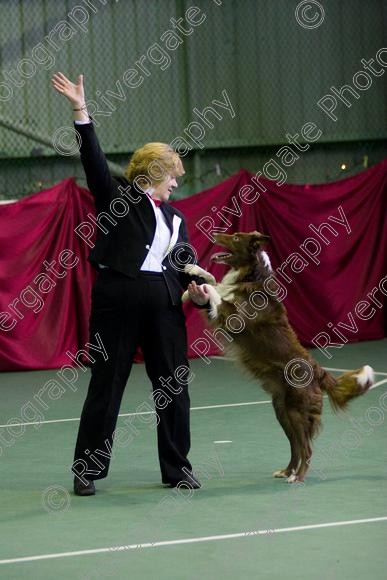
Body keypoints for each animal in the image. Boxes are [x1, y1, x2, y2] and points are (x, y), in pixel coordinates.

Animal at [185, 233, 376, 482]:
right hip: (282, 410)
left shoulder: (233, 317)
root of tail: (318, 370)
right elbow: (214, 282)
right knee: (295, 445)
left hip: (296, 411)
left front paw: (199, 285)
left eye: (235, 237)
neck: (250, 276)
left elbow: (214, 289)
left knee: (306, 447)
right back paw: (287, 471)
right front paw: (193, 272)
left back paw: (297, 477)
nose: (215, 233)